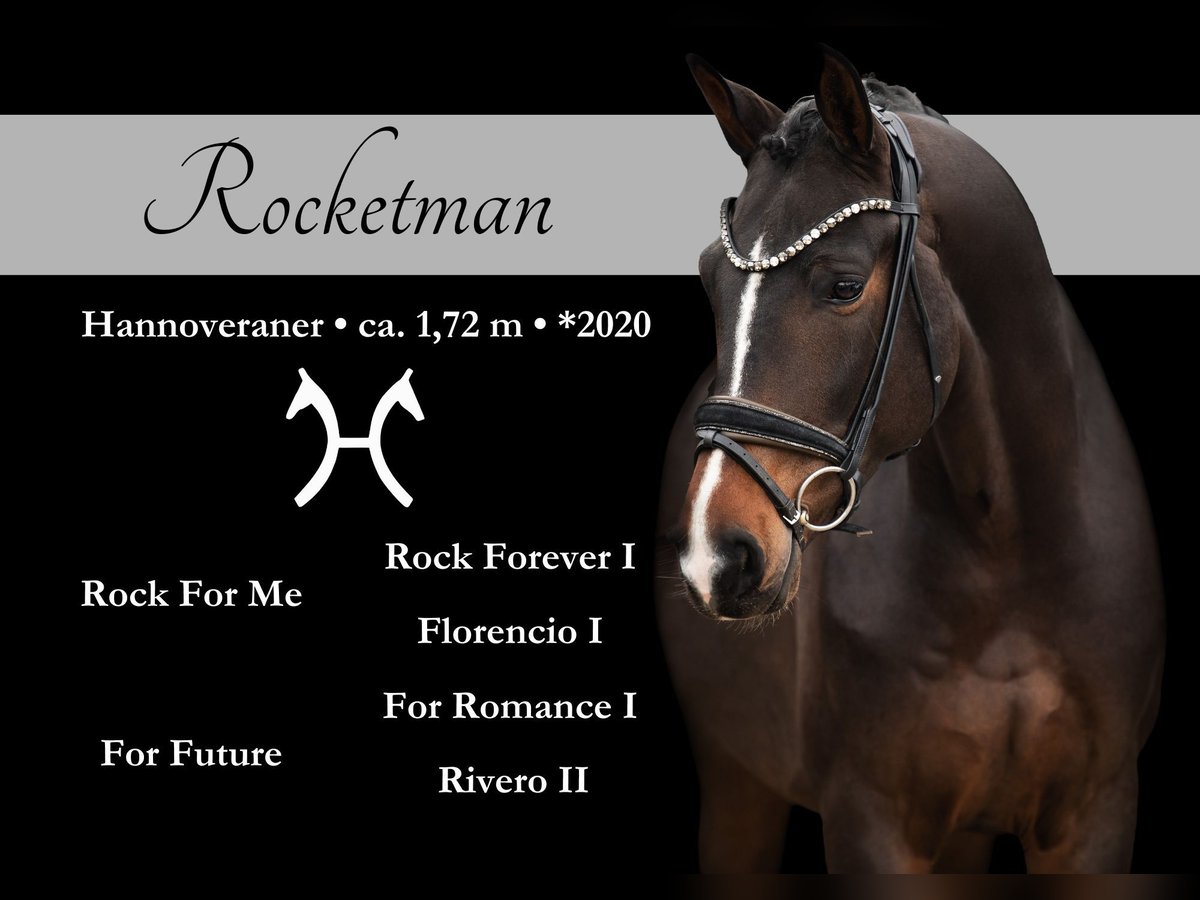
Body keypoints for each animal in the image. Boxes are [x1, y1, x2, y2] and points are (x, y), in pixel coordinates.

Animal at [655, 46, 1165, 873]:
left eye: (842, 285)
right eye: (709, 278)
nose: (714, 554)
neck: (1008, 554)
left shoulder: (1097, 812)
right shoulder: (871, 822)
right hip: (737, 779)